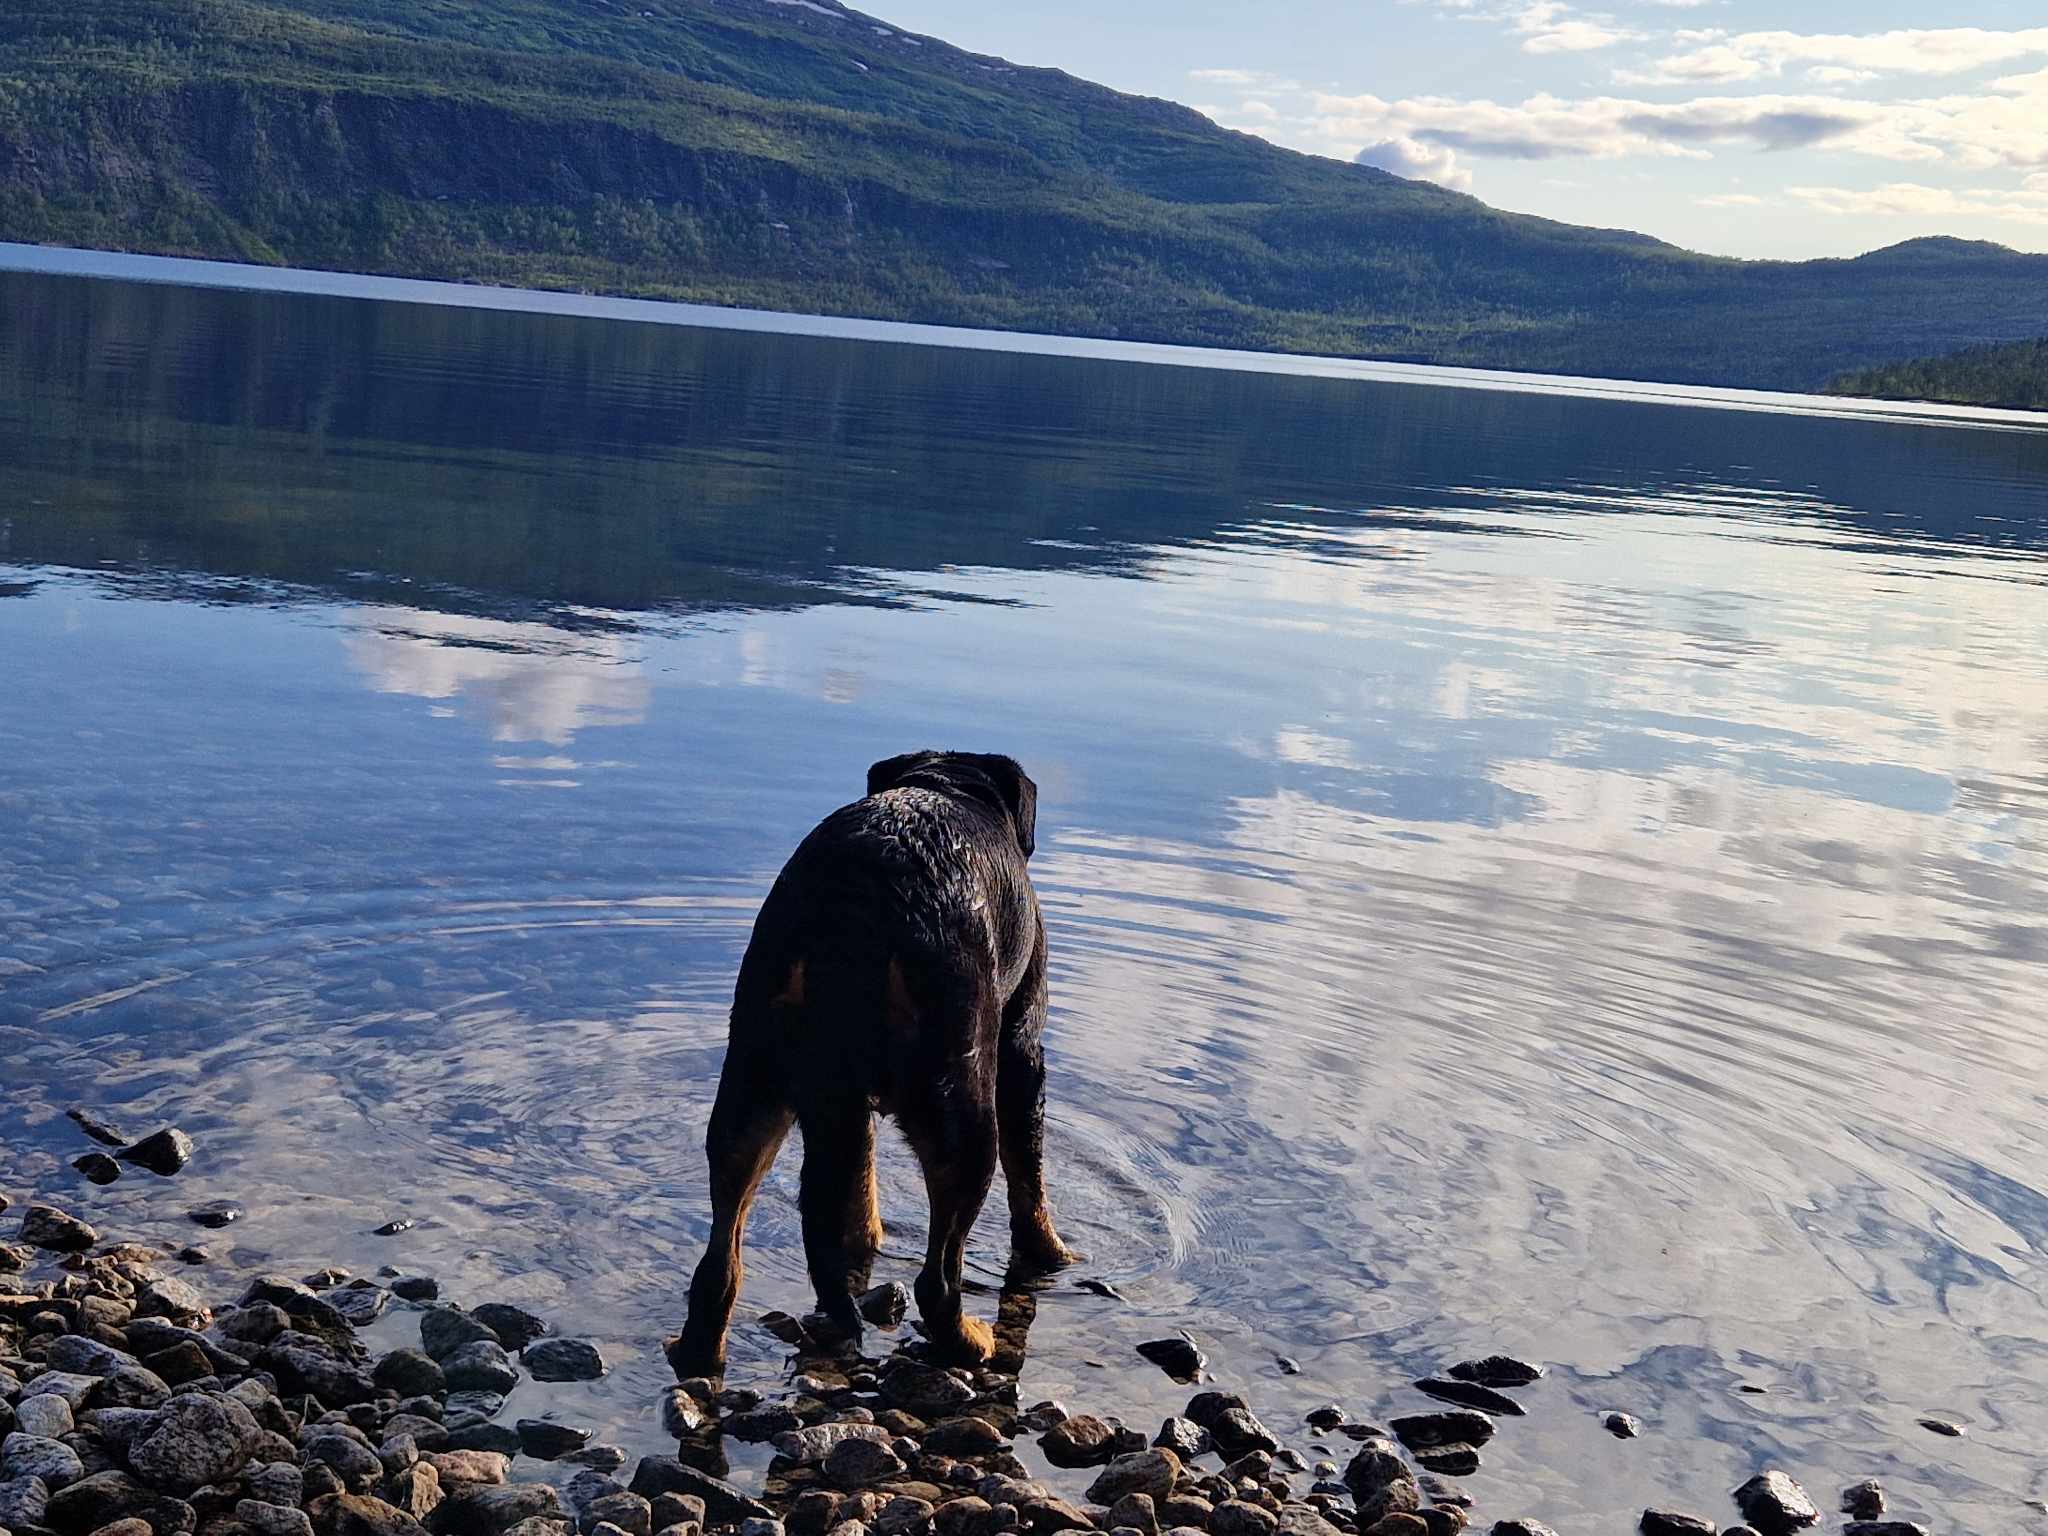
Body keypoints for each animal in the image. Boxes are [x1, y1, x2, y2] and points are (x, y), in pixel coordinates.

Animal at [675, 753, 1089, 1376]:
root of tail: (851, 907)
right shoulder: (1022, 1047)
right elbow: (1030, 1178)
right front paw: (1052, 1255)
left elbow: (857, 1186)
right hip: (964, 1104)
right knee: (937, 1280)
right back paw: (971, 1341)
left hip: (753, 1086)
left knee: (722, 1256)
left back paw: (701, 1349)